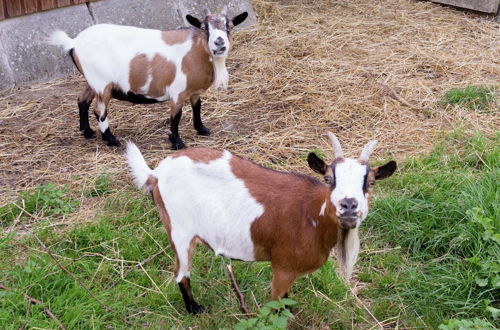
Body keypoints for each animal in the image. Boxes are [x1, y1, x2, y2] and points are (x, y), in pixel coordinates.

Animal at [48, 7, 248, 149]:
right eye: (204, 28)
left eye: (229, 27)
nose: (219, 42)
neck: (195, 51)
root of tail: (73, 42)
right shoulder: (177, 92)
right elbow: (176, 116)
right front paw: (177, 143)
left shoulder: (194, 91)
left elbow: (197, 107)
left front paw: (202, 129)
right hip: (101, 84)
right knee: (99, 111)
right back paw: (112, 140)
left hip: (93, 81)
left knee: (82, 100)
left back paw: (87, 132)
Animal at [124, 133, 394, 314]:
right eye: (329, 179)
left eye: (370, 182)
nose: (348, 205)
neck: (311, 214)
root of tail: (155, 173)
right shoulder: (283, 266)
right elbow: (276, 306)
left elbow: (286, 302)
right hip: (180, 231)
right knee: (180, 274)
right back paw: (195, 309)